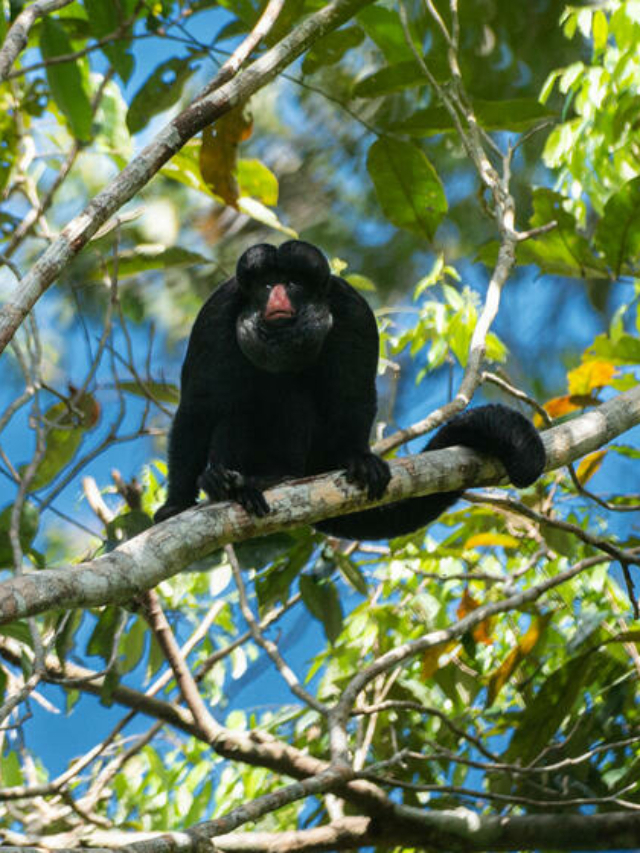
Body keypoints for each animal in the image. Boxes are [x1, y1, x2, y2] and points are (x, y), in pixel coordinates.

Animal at [155, 238, 544, 540]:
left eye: (292, 284)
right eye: (266, 286)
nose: (277, 299)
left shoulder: (352, 308)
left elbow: (353, 395)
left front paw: (358, 457)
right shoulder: (216, 312)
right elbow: (199, 406)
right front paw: (176, 504)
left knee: (289, 398)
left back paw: (273, 476)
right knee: (237, 411)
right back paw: (230, 484)